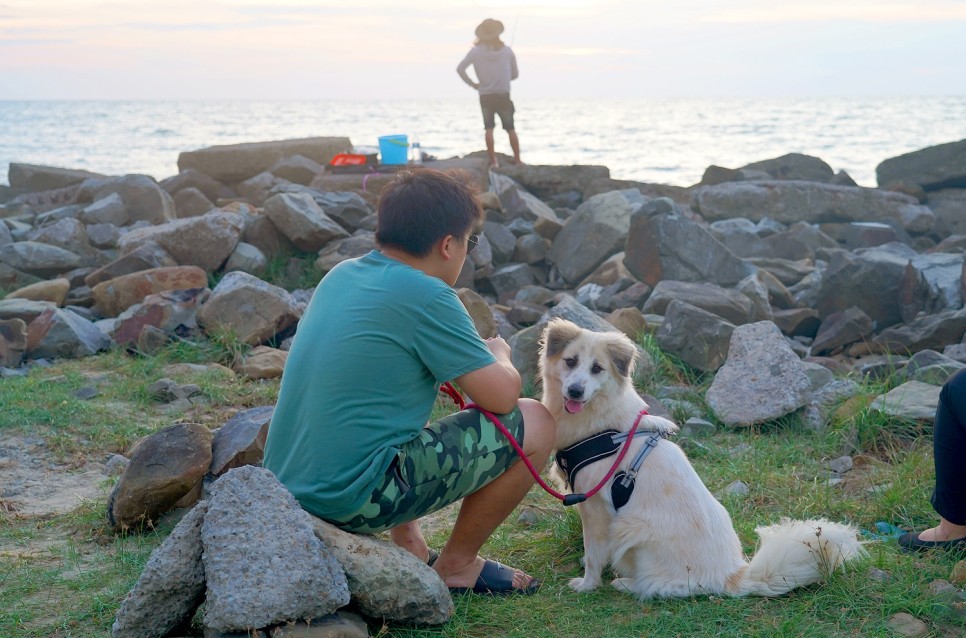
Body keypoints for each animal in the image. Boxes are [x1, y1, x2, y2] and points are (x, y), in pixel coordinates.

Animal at [540, 320, 864, 600]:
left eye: (597, 369)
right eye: (570, 361)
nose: (575, 391)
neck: (604, 428)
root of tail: (729, 576)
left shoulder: (595, 508)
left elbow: (595, 553)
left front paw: (587, 584)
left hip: (630, 528)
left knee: (662, 586)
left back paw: (627, 583)